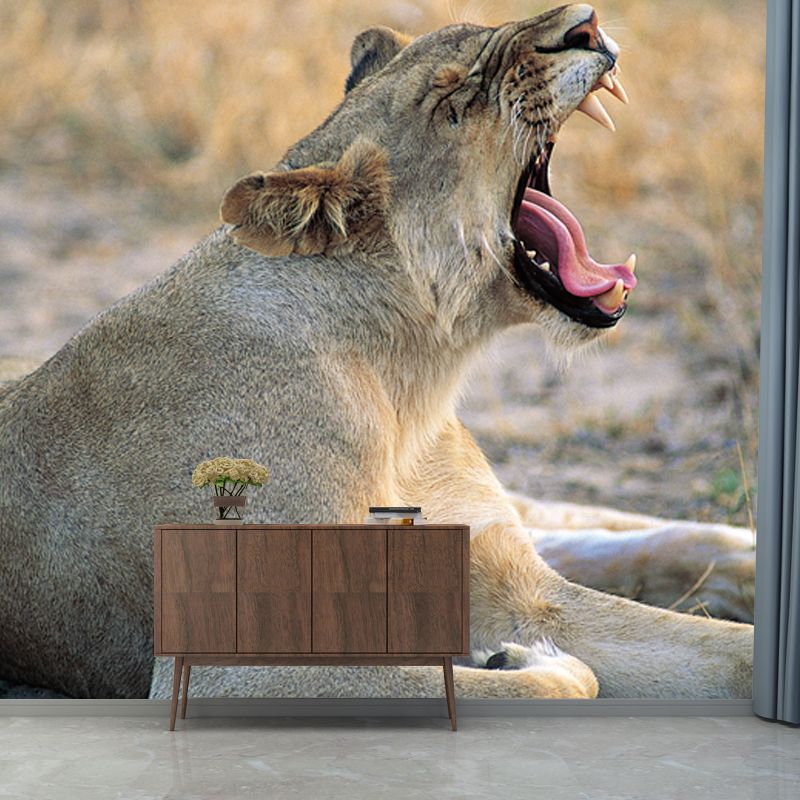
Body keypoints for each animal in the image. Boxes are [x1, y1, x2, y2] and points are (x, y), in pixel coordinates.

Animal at [0, 4, 753, 702]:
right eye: (456, 102)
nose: (586, 23)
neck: (411, 378)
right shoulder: (237, 668)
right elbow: (560, 679)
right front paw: (523, 660)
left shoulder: (516, 585)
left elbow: (730, 654)